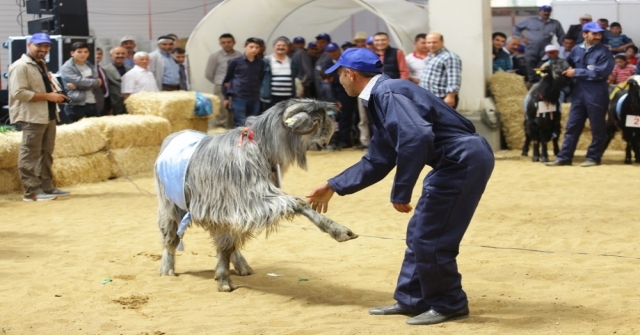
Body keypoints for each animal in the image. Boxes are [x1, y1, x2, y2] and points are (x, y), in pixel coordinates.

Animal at [153, 99, 358, 292]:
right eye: (316, 120)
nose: (325, 142)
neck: (259, 146)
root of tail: (173, 135)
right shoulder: (246, 200)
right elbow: (297, 203)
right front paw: (224, 281)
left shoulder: (238, 207)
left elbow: (228, 242)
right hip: (170, 204)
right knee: (170, 236)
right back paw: (167, 269)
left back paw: (242, 265)